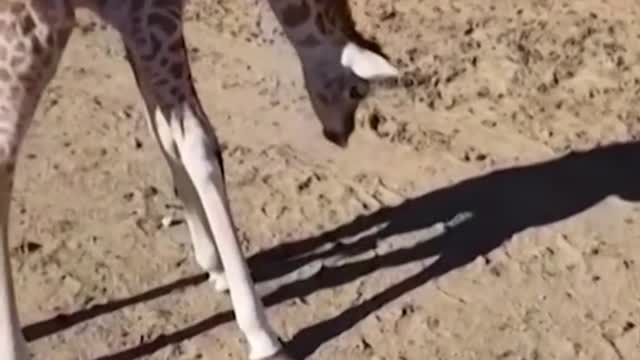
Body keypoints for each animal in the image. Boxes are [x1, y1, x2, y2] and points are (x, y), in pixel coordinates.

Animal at [0, 0, 400, 360]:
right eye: (357, 90)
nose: (341, 135)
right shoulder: (153, 15)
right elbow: (198, 144)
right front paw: (261, 335)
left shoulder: (132, 26)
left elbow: (163, 133)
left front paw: (214, 265)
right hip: (31, 33)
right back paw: (15, 349)